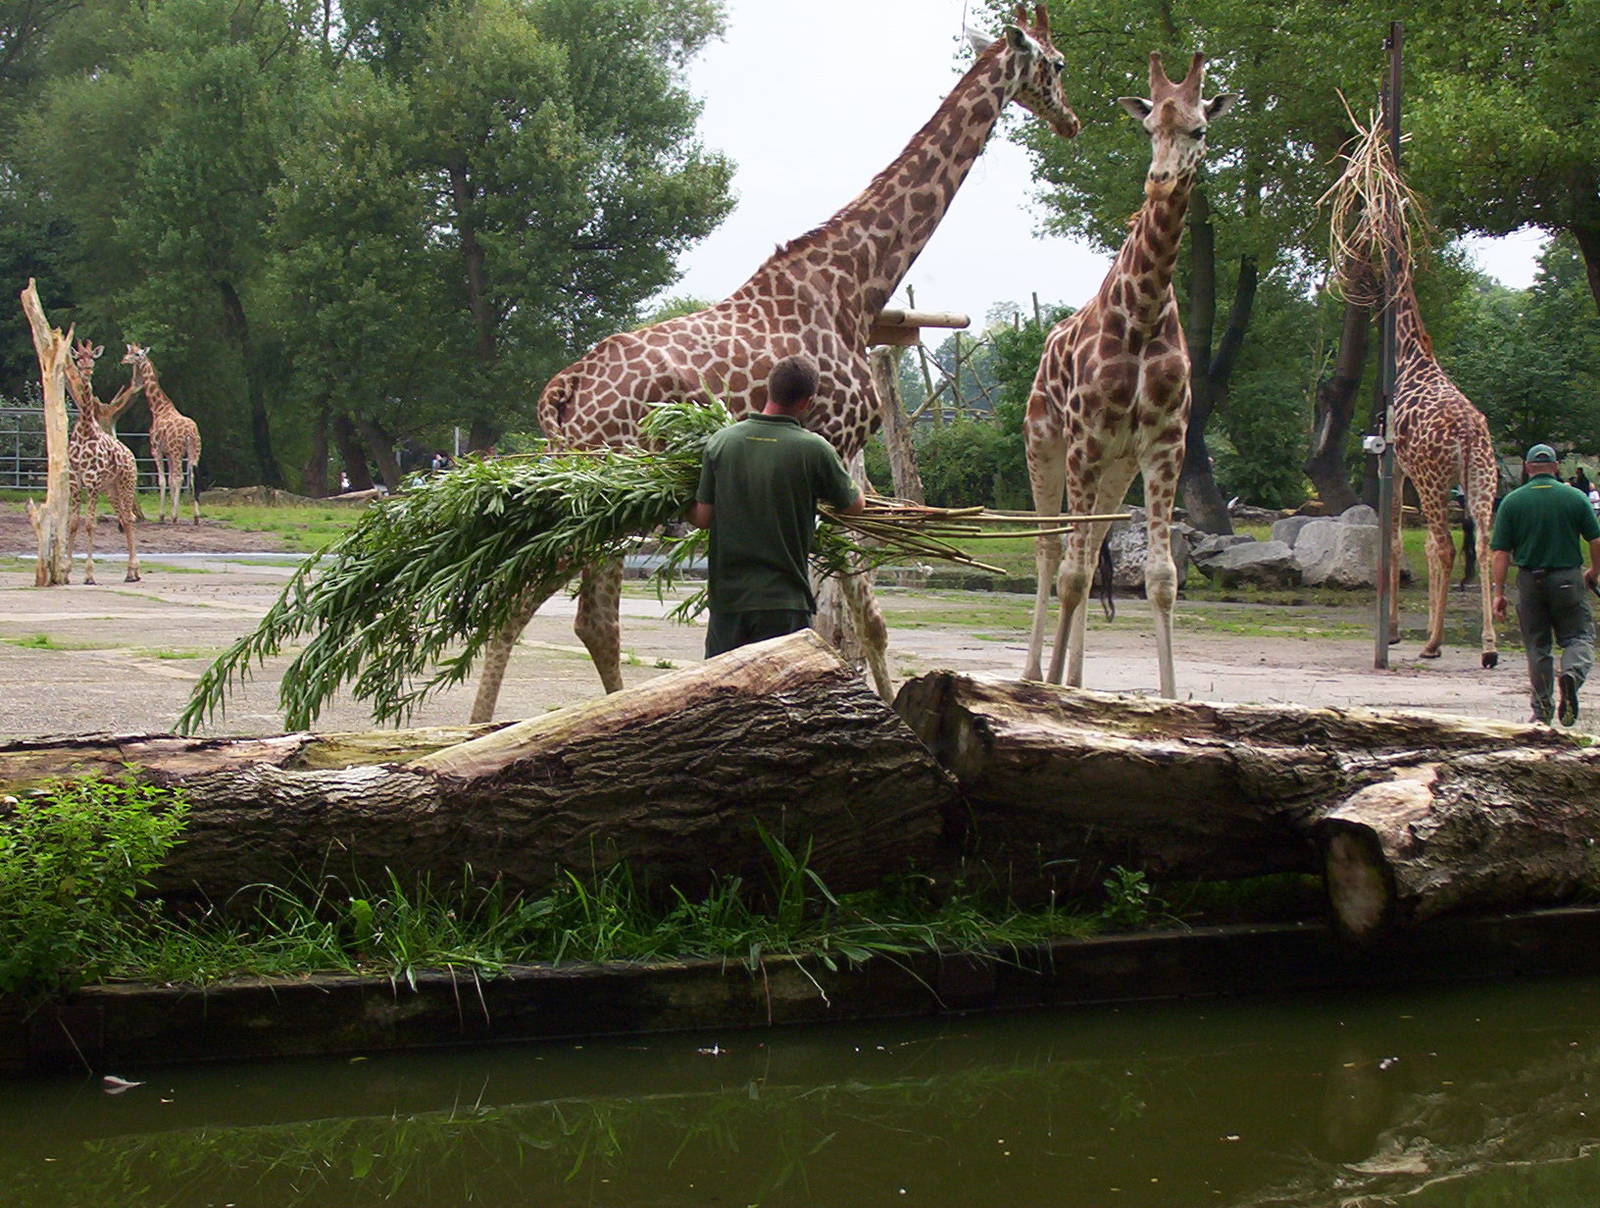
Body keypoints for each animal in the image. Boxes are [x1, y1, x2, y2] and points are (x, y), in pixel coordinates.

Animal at [66, 340, 142, 584]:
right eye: (79, 358)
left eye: (93, 358)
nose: (87, 370)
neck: (85, 431)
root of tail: (131, 455)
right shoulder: (75, 482)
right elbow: (73, 523)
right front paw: (65, 571)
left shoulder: (93, 482)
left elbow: (90, 524)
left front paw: (89, 575)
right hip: (112, 489)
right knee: (125, 518)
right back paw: (131, 572)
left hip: (127, 484)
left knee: (130, 518)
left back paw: (133, 571)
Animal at [121, 343, 202, 524]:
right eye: (129, 352)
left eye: (136, 354)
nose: (123, 360)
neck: (158, 409)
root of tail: (190, 432)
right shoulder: (169, 453)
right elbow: (170, 480)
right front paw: (172, 509)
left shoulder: (156, 450)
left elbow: (163, 480)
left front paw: (163, 514)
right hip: (194, 451)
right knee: (192, 477)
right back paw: (196, 517)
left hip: (178, 451)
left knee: (180, 477)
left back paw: (174, 517)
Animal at [467, 4, 1080, 723]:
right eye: (1057, 64)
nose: (1070, 120)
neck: (854, 283)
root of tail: (561, 396)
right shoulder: (836, 443)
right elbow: (843, 610)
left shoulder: (840, 458)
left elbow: (862, 615)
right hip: (603, 489)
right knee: (542, 606)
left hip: (600, 494)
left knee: (569, 612)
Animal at [1023, 52, 1235, 697]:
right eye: (1148, 129)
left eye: (1199, 130)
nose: (1160, 179)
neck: (1141, 313)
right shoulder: (1085, 440)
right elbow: (1068, 572)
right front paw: (1048, 694)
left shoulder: (1165, 442)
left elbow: (1162, 576)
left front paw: (1164, 700)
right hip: (1045, 445)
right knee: (1051, 551)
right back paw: (1037, 673)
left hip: (1116, 468)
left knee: (1091, 552)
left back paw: (1074, 679)